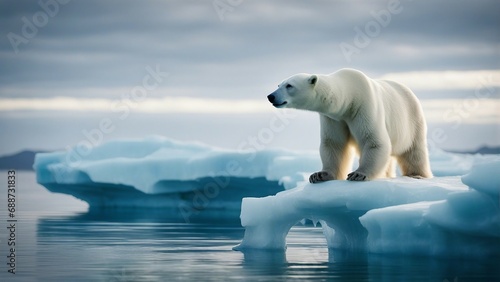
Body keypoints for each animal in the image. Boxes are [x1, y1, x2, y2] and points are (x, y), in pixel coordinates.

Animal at [268, 69, 432, 182]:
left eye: (289, 85)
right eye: (279, 84)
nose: (271, 96)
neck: (349, 96)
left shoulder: (364, 106)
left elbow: (373, 140)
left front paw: (358, 174)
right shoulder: (333, 118)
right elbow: (334, 144)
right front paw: (320, 175)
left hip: (412, 120)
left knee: (414, 152)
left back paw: (417, 174)